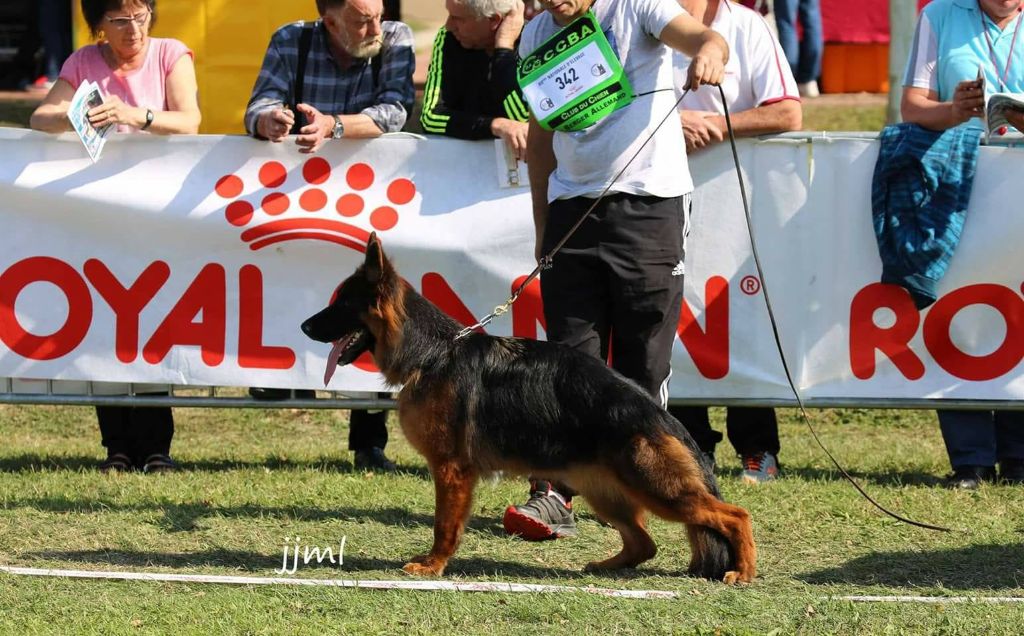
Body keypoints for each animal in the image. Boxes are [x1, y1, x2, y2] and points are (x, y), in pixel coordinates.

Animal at [299, 234, 757, 585]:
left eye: (341, 304)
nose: (303, 326)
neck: (431, 354)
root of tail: (662, 416)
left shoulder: (451, 471)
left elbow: (444, 525)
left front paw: (433, 565)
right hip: (606, 491)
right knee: (646, 543)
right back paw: (606, 566)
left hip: (656, 487)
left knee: (735, 515)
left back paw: (744, 571)